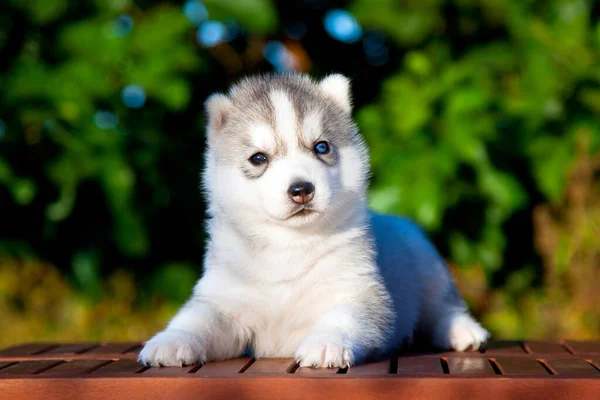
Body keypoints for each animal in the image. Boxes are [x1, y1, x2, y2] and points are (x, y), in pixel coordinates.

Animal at [138, 72, 490, 368]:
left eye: (321, 147)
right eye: (258, 158)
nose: (301, 189)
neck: (288, 244)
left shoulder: (359, 291)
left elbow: (343, 317)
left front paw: (326, 344)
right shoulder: (226, 299)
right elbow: (197, 319)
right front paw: (170, 340)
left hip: (428, 264)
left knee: (443, 307)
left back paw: (463, 331)